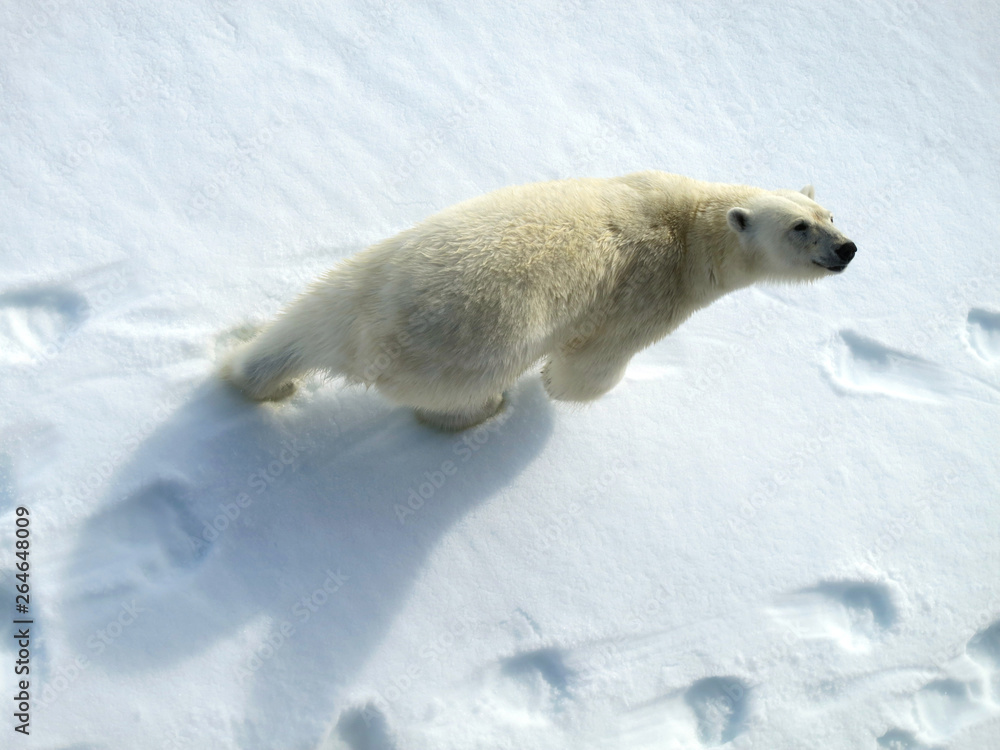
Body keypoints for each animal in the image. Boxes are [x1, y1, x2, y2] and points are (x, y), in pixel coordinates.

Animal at [221, 171, 856, 430]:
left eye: (829, 214)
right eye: (800, 227)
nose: (847, 249)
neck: (688, 221)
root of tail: (371, 334)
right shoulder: (650, 297)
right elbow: (588, 371)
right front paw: (555, 385)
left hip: (369, 271)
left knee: (299, 326)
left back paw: (253, 376)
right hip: (466, 352)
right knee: (455, 397)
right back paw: (485, 411)